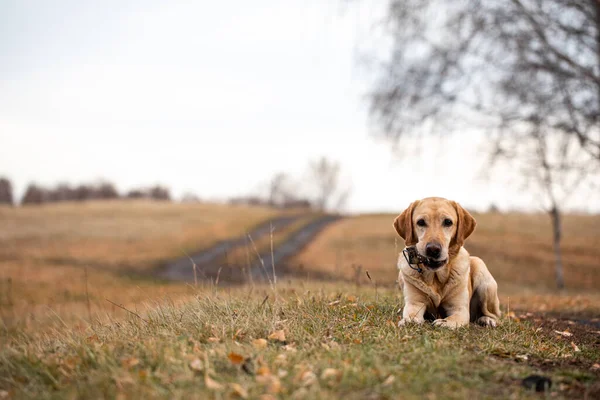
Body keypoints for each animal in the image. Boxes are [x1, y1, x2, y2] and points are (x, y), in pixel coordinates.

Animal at [394, 197, 502, 328]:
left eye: (448, 222)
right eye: (420, 222)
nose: (433, 249)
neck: (435, 278)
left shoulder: (459, 310)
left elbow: (452, 319)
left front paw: (443, 322)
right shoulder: (415, 303)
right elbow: (411, 315)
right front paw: (408, 321)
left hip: (483, 274)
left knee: (493, 314)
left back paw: (487, 320)